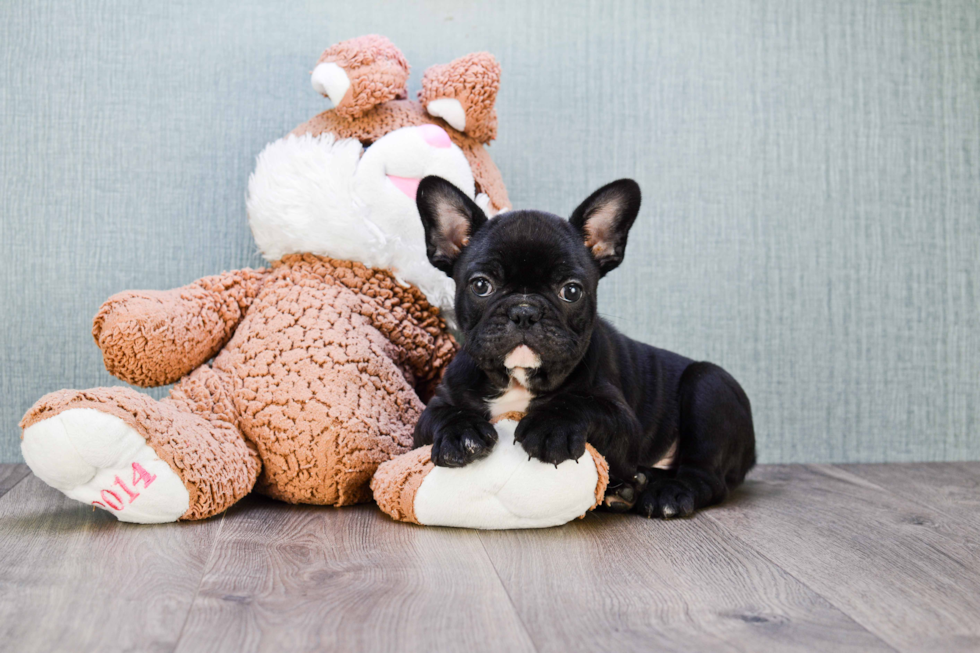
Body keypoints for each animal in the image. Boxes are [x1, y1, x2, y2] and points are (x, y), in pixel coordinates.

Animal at [414, 176, 756, 516]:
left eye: (571, 291)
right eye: (481, 285)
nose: (524, 311)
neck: (519, 380)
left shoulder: (623, 421)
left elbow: (581, 404)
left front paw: (552, 426)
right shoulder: (434, 409)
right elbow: (445, 414)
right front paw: (461, 433)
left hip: (709, 386)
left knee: (706, 476)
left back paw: (667, 493)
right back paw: (630, 488)